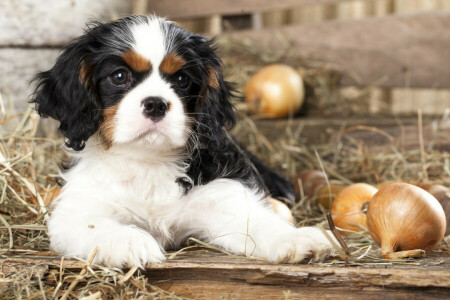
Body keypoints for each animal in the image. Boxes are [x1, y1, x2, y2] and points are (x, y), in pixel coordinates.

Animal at [31, 15, 334, 268]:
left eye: (181, 78)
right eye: (119, 76)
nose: (155, 104)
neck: (149, 160)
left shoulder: (223, 194)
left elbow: (256, 222)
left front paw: (296, 239)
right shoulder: (78, 209)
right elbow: (94, 225)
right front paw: (129, 241)